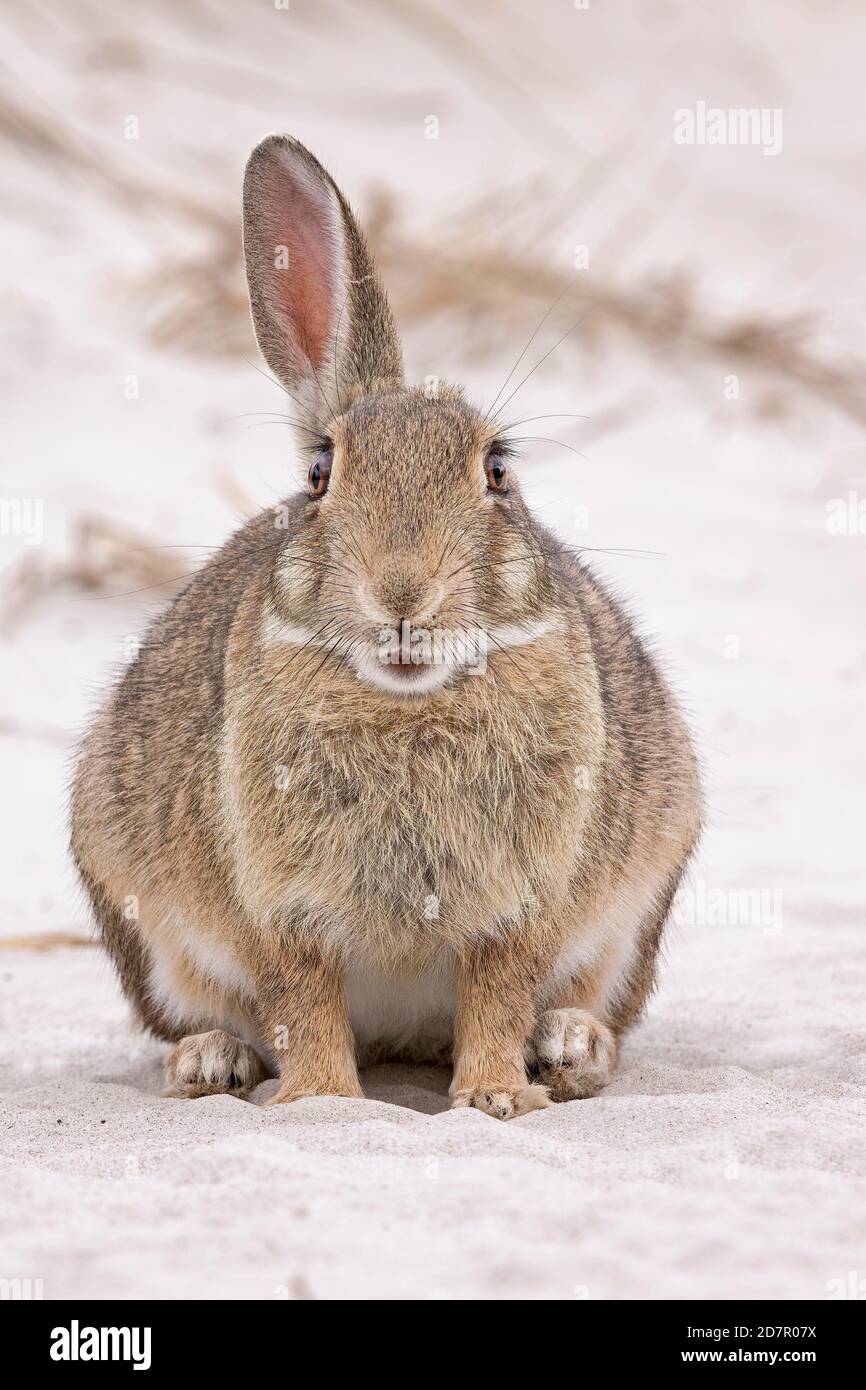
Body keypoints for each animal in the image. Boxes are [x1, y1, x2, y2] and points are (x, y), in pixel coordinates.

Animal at [70, 134, 702, 1119]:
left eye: (497, 469)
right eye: (321, 473)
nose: (402, 595)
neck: (408, 704)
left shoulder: (519, 906)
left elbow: (498, 993)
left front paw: (495, 1099)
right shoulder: (281, 910)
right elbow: (302, 1002)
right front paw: (323, 1103)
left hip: (635, 911)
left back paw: (570, 1049)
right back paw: (210, 1062)